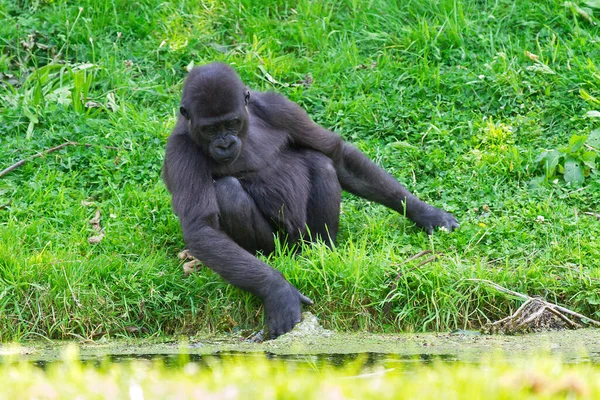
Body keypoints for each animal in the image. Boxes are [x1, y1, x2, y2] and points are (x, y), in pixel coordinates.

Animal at [162, 62, 458, 338]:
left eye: (232, 122)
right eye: (210, 129)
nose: (224, 143)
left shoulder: (277, 106)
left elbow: (336, 154)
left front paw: (424, 212)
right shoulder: (180, 151)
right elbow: (202, 228)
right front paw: (277, 289)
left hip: (304, 238)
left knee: (321, 162)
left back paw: (323, 251)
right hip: (282, 247)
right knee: (228, 191)